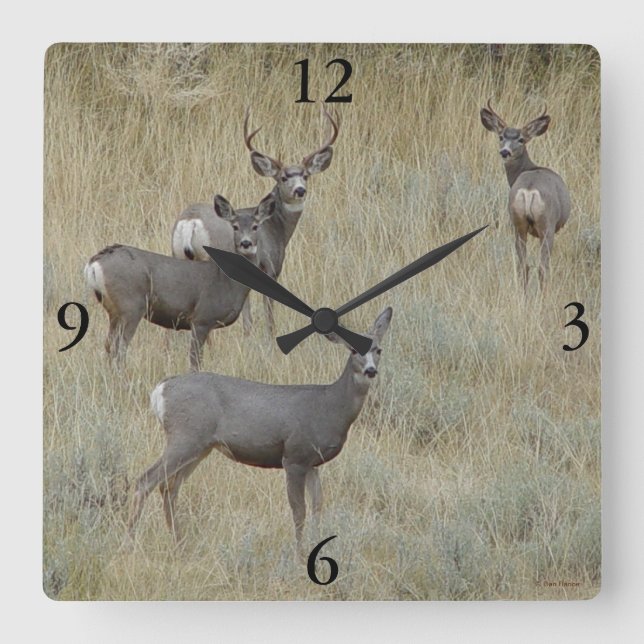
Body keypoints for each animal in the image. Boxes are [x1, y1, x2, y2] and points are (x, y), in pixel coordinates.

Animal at [84, 194, 275, 372]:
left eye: (255, 226)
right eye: (234, 226)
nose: (246, 243)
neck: (228, 282)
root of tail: (94, 263)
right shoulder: (201, 318)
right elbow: (195, 360)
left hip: (114, 311)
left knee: (109, 344)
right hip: (130, 306)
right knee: (120, 347)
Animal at [126, 306, 392, 560]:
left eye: (379, 349)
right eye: (352, 350)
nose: (370, 371)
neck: (330, 407)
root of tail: (160, 390)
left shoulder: (313, 463)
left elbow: (318, 506)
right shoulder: (294, 456)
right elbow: (299, 510)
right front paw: (299, 555)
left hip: (200, 446)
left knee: (169, 487)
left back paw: (180, 544)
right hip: (185, 436)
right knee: (145, 481)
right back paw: (131, 540)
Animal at [171, 107, 339, 335]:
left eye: (305, 175)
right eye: (283, 177)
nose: (300, 190)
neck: (276, 229)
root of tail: (190, 221)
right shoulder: (270, 266)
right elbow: (266, 311)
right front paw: (269, 335)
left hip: (177, 255)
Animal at [480, 100, 571, 290]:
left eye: (521, 139)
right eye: (501, 137)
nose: (505, 152)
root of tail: (528, 190)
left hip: (517, 223)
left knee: (523, 266)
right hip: (547, 225)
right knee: (542, 267)